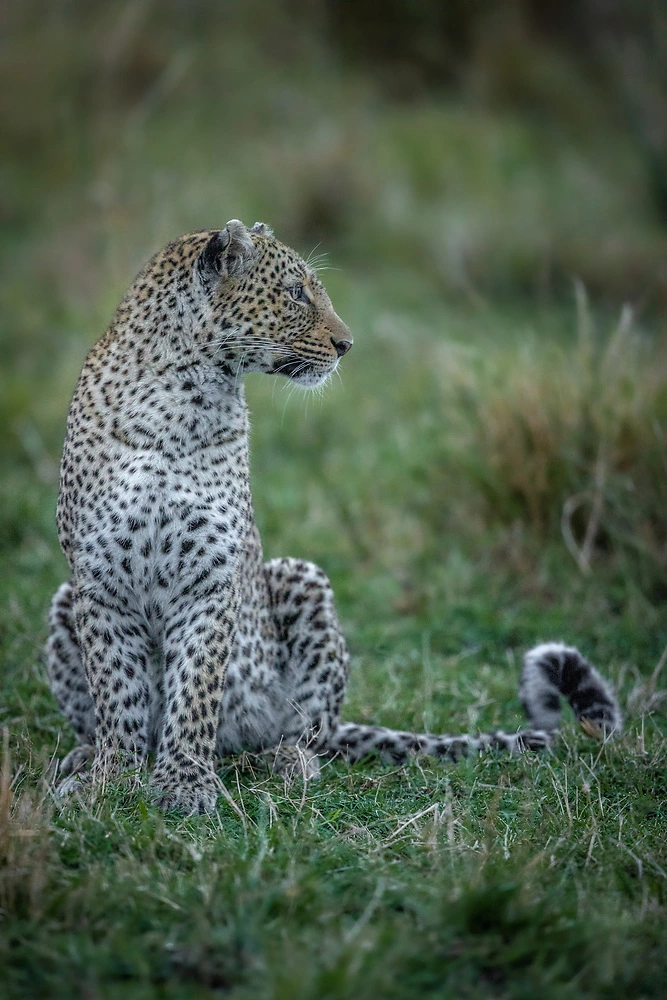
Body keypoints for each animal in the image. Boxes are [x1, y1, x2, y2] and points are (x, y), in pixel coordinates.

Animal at [45, 217, 620, 812]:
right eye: (296, 293)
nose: (347, 345)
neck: (181, 401)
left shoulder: (211, 579)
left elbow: (197, 689)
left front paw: (185, 782)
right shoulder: (99, 582)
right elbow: (118, 693)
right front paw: (113, 778)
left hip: (305, 586)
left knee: (309, 734)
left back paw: (281, 762)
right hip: (63, 602)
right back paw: (83, 757)